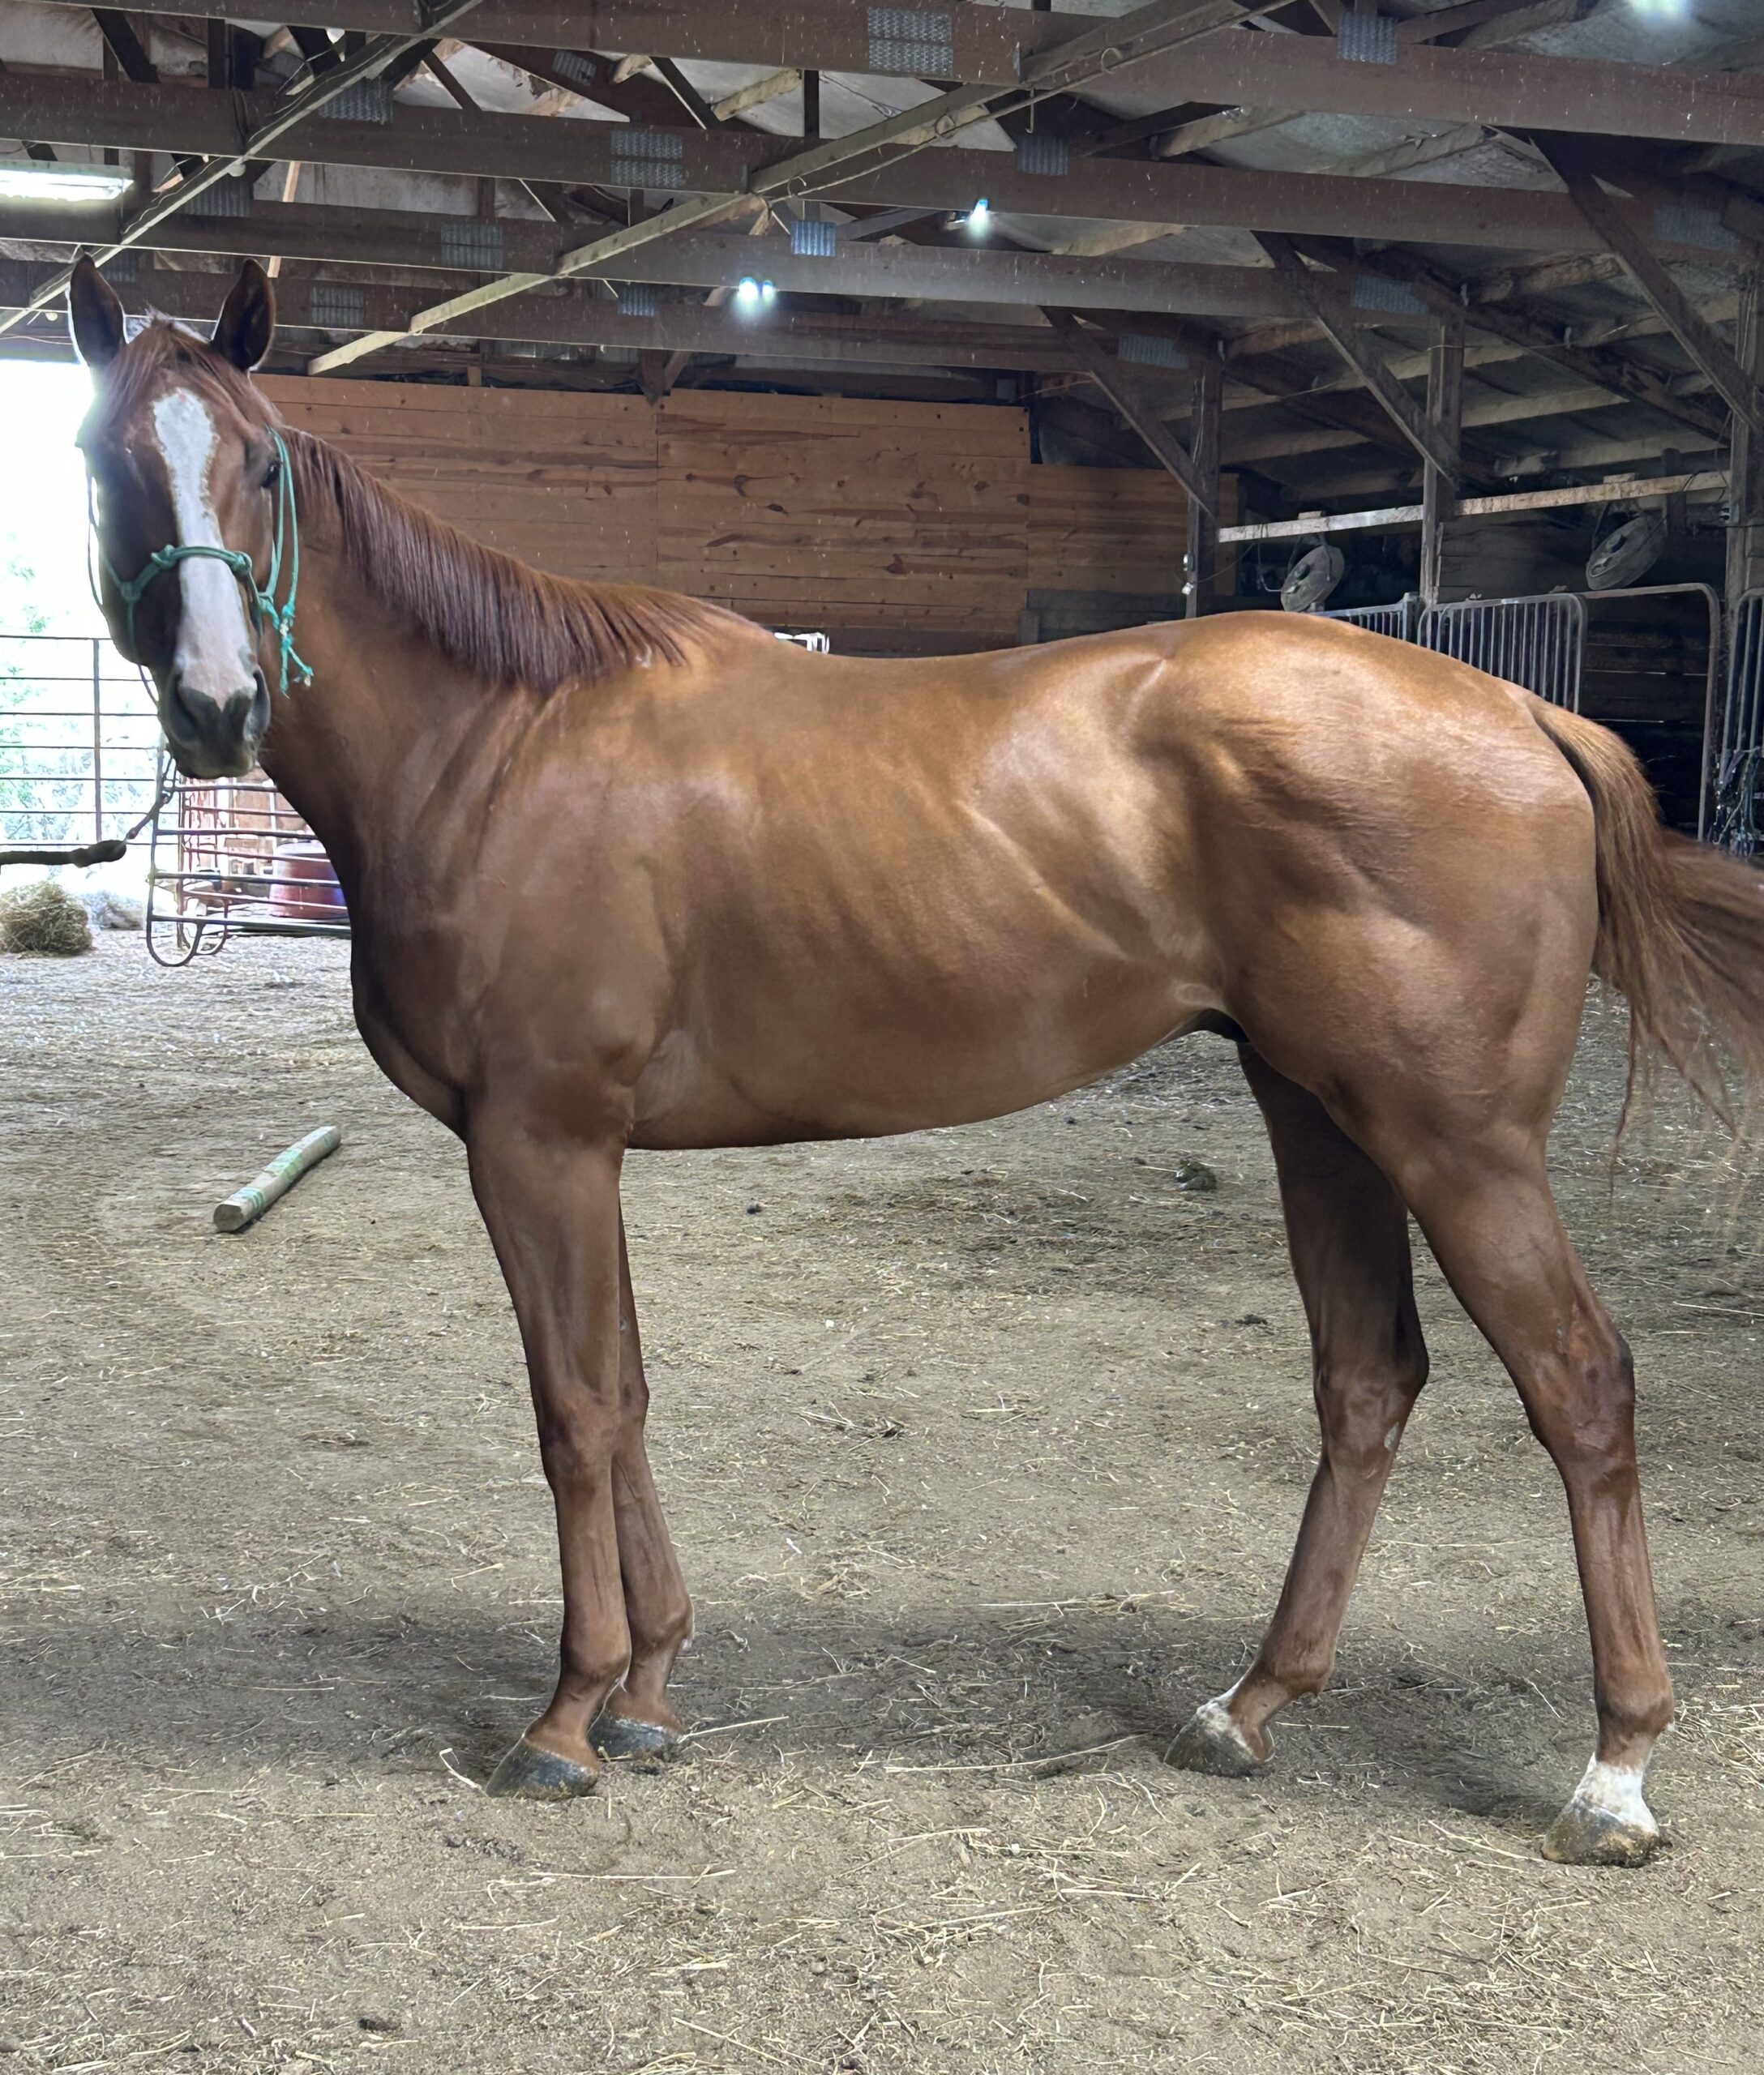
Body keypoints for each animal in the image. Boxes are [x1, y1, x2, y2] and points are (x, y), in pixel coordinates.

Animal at [71, 255, 1759, 1868]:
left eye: (265, 463)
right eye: (101, 462)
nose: (217, 707)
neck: (501, 745)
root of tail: (1529, 713)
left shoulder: (536, 1140)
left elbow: (573, 1412)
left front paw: (565, 1717)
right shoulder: (578, 1151)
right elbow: (628, 1393)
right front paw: (651, 1689)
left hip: (1455, 1144)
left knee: (1580, 1386)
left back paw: (1614, 1771)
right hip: (1321, 1114)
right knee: (1367, 1380)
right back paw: (1250, 1704)